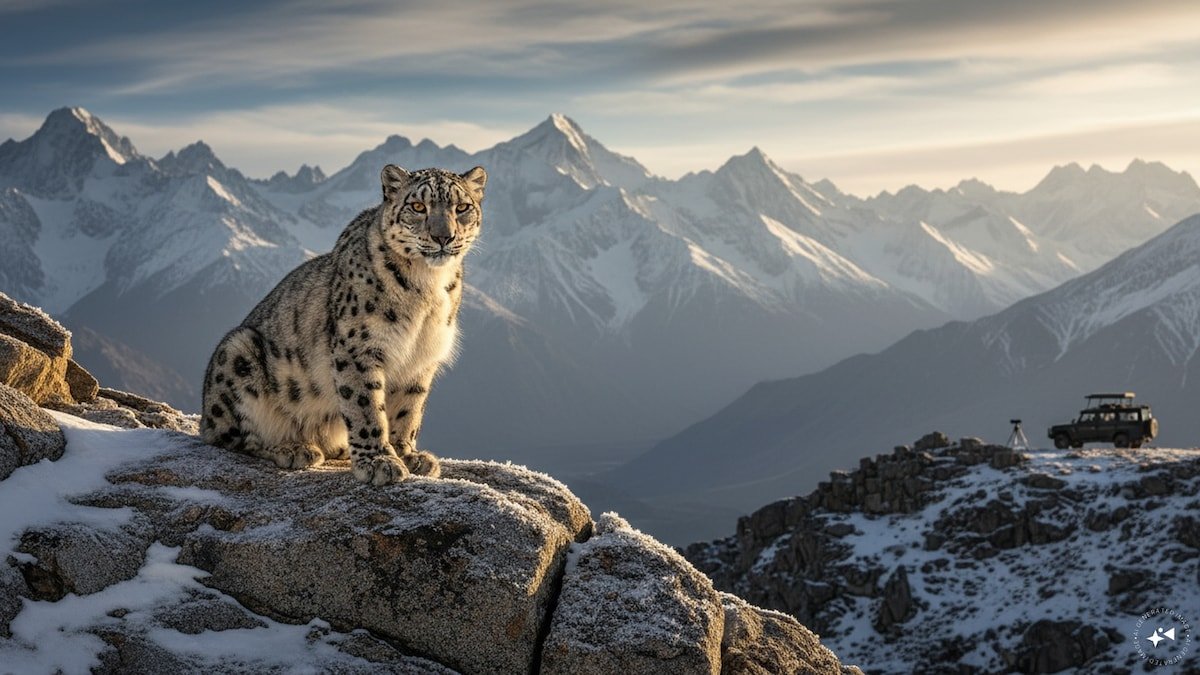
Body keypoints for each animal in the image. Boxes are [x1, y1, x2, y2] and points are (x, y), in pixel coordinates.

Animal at [199, 164, 486, 485]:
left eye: (462, 207)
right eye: (417, 207)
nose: (443, 237)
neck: (427, 287)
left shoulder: (421, 359)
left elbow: (408, 409)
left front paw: (407, 454)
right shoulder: (359, 348)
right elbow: (366, 406)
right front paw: (379, 462)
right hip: (238, 351)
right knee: (234, 438)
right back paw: (293, 448)